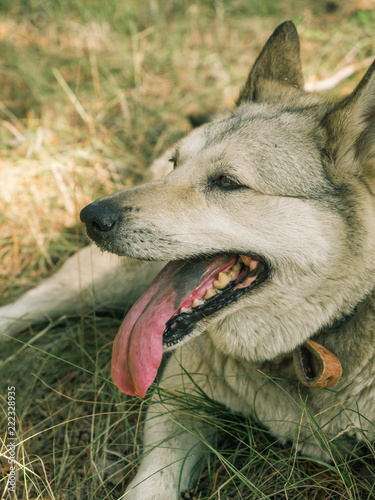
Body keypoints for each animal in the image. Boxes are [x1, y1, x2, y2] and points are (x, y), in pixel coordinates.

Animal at [0, 20, 375, 500]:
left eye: (227, 182)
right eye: (176, 164)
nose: (91, 217)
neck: (310, 344)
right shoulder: (177, 395)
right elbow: (152, 482)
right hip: (98, 283)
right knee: (26, 306)